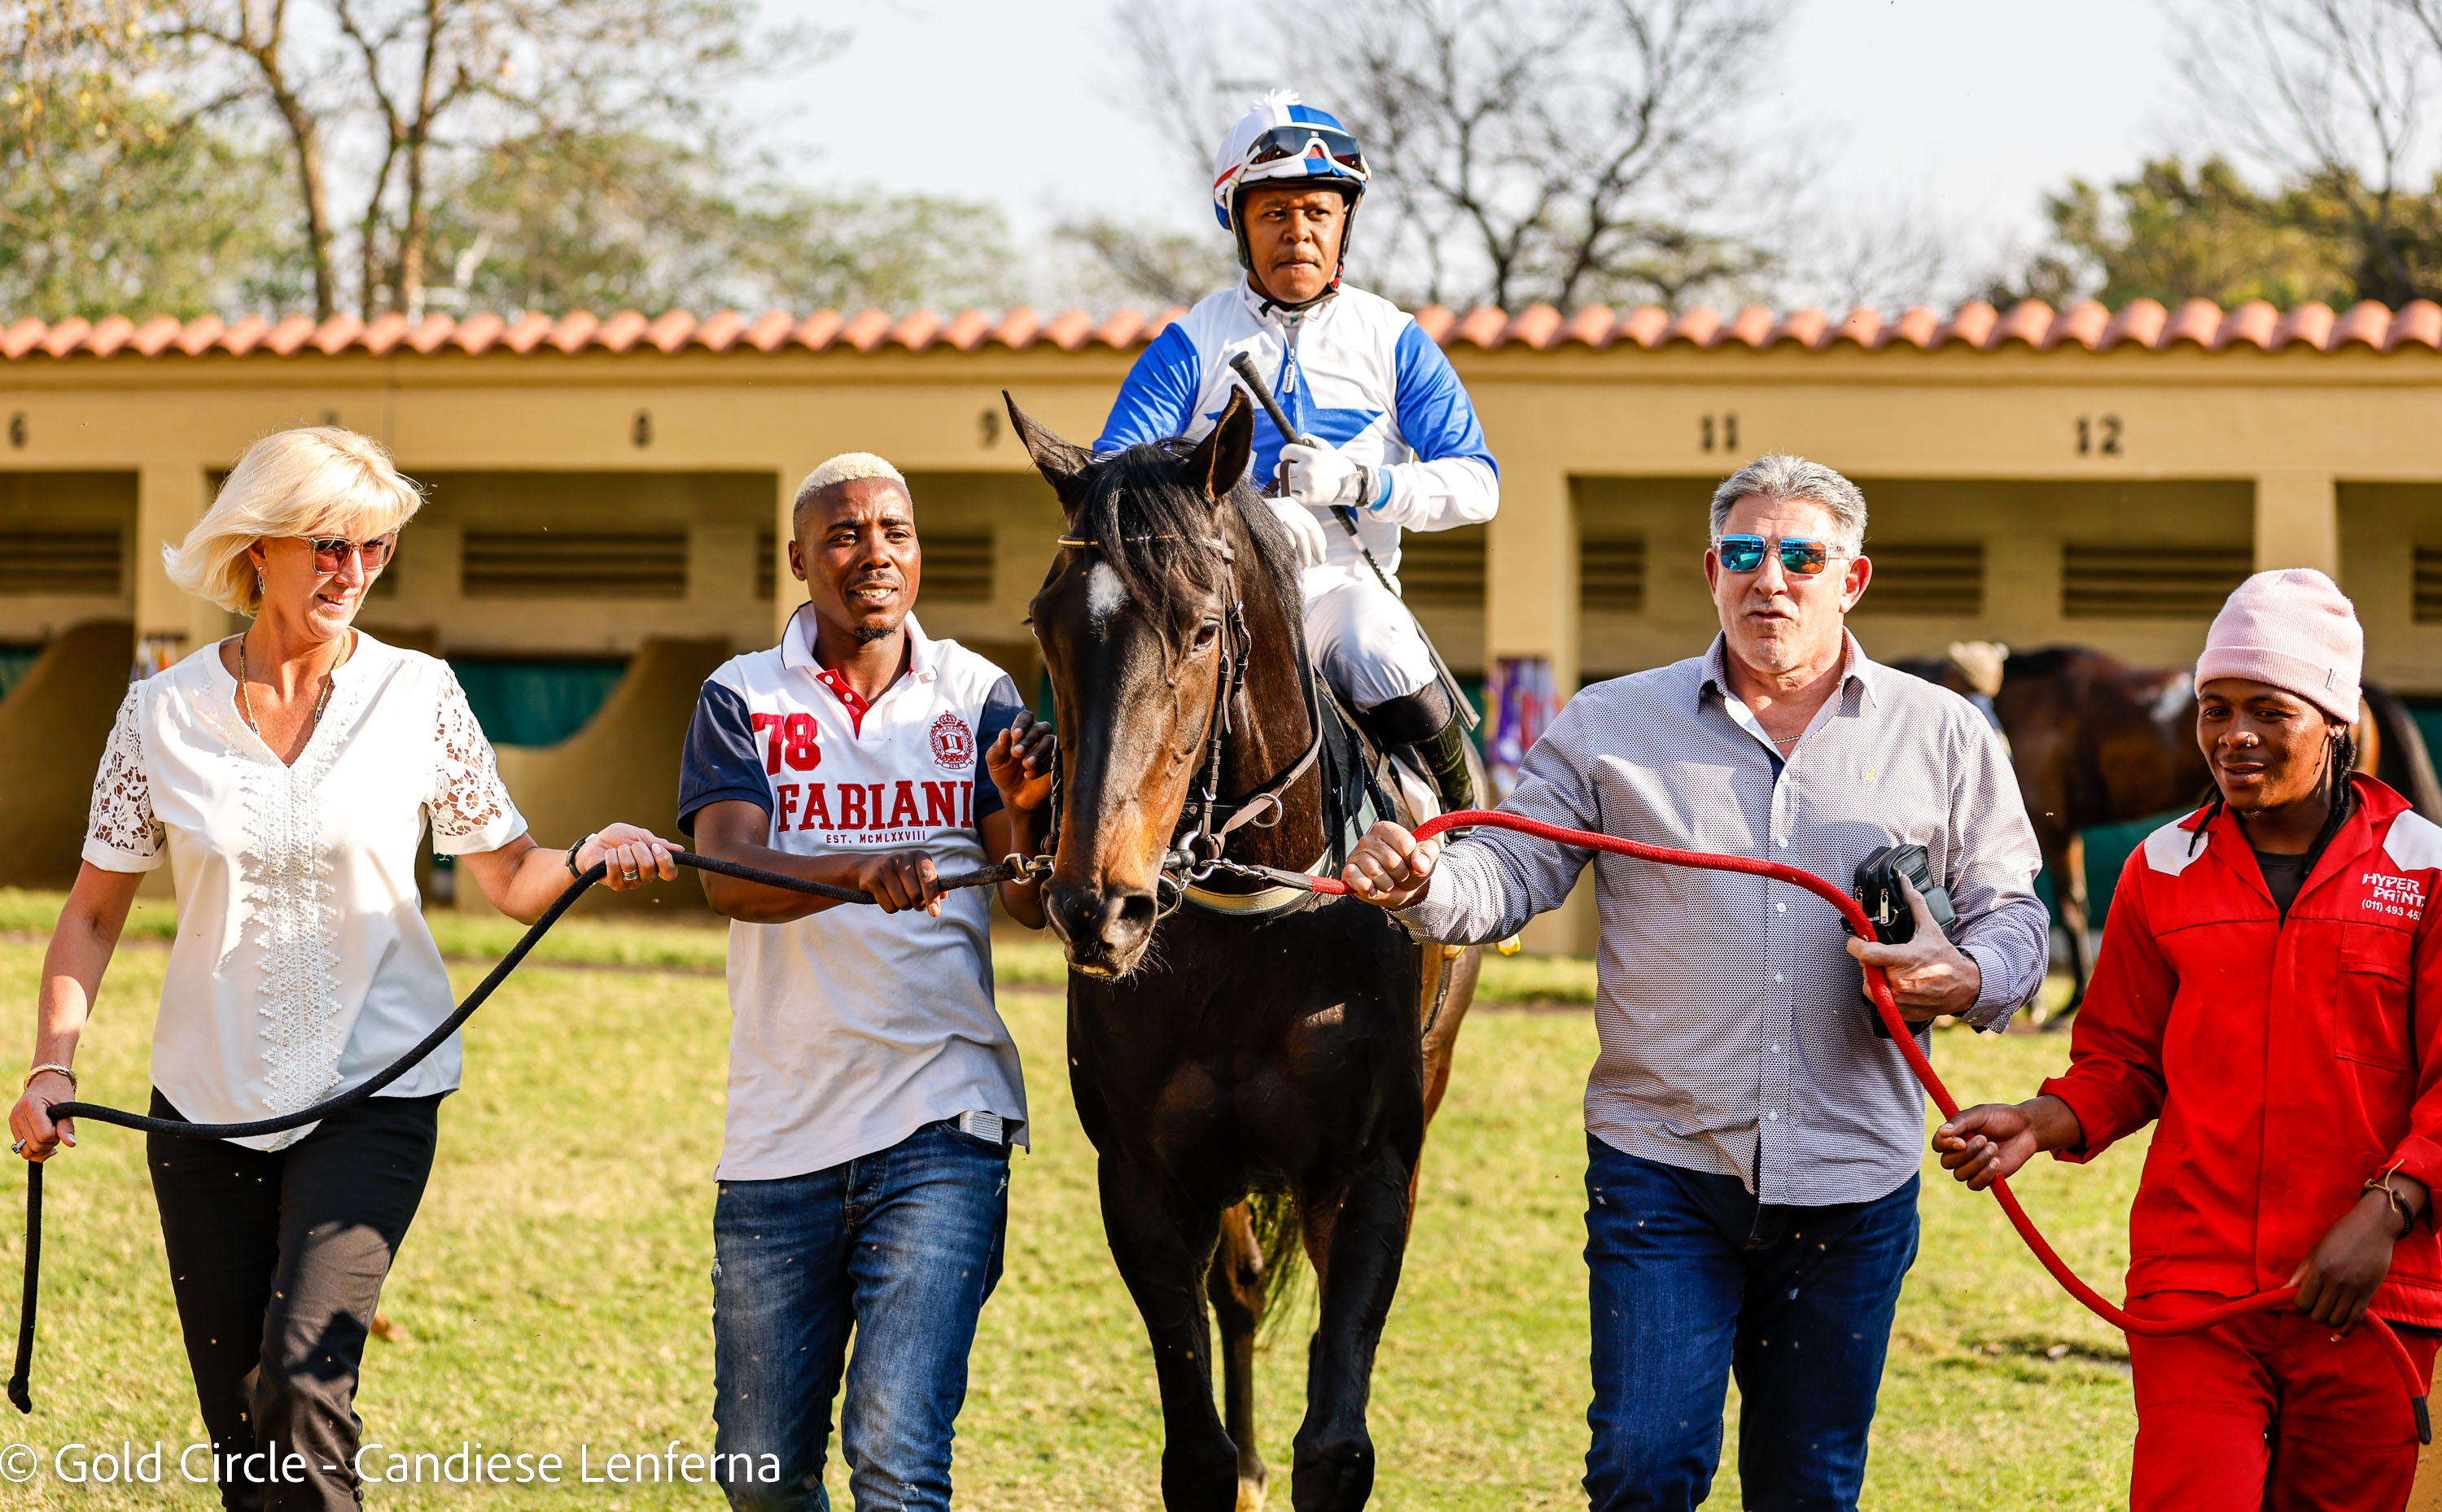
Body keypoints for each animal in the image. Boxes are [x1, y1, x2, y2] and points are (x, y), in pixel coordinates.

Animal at [1006, 388, 1481, 1512]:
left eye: (1204, 627)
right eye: (1047, 624)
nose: (1098, 905)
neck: (1253, 927)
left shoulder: (1366, 1172)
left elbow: (1337, 1445)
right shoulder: (1144, 1179)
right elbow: (1198, 1454)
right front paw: (1241, 1456)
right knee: (1243, 1287)